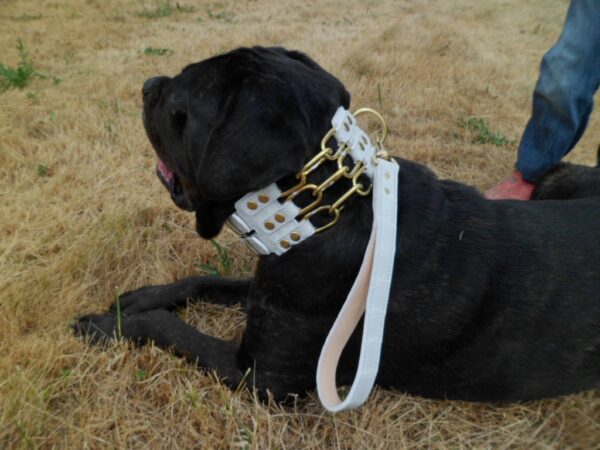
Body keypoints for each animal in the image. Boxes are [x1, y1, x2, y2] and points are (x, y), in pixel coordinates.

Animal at [74, 47, 600, 403]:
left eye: (179, 103)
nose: (147, 84)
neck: (318, 213)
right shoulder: (269, 286)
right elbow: (205, 280)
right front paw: (140, 297)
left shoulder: (261, 376)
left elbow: (171, 330)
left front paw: (107, 323)